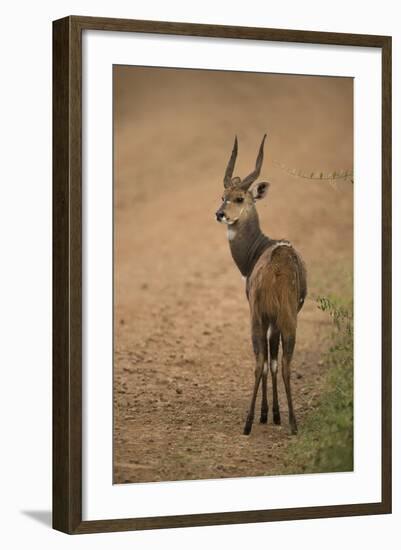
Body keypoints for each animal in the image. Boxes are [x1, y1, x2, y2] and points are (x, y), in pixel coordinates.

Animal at [216, 136, 306, 438]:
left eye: (239, 198)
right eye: (222, 196)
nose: (220, 214)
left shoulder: (265, 318)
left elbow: (268, 361)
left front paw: (268, 415)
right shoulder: (275, 320)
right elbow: (273, 361)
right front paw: (273, 415)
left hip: (259, 318)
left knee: (262, 362)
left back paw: (248, 423)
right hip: (284, 320)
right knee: (282, 364)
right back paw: (291, 423)